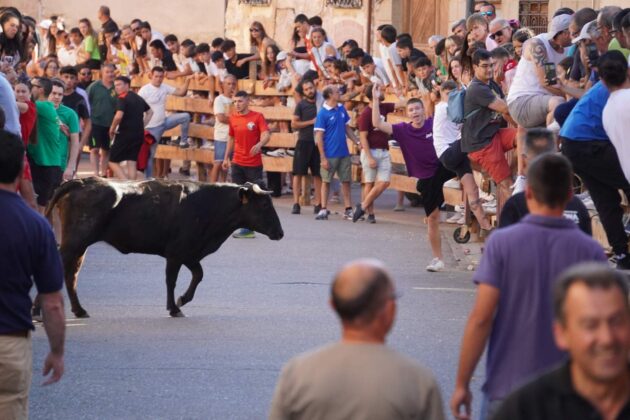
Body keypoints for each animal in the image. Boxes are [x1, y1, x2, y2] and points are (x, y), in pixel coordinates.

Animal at [45, 177, 288, 318]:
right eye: (264, 204)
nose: (280, 233)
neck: (208, 204)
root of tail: (81, 181)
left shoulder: (189, 253)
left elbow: (198, 274)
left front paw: (182, 300)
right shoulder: (176, 253)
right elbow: (171, 280)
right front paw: (174, 307)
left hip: (80, 247)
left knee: (71, 276)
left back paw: (79, 310)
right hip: (74, 243)